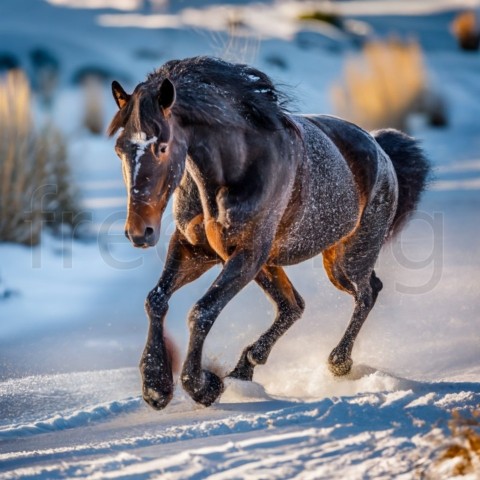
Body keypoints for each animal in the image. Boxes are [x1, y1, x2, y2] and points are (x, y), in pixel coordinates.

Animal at [109, 55, 432, 408]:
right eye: (119, 149)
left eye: (163, 147)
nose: (139, 232)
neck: (232, 168)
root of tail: (381, 150)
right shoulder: (195, 250)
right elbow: (156, 300)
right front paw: (156, 386)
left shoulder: (246, 255)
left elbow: (201, 311)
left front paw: (202, 386)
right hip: (272, 264)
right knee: (294, 306)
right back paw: (244, 369)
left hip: (344, 261)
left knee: (368, 291)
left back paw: (337, 362)